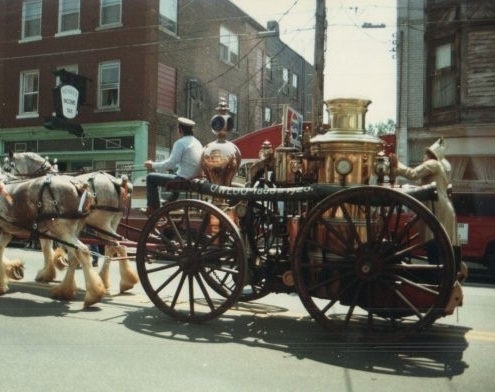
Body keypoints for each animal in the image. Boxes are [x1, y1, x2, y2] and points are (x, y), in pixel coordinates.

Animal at [0, 174, 105, 306]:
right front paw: (12, 271)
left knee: (82, 251)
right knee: (73, 256)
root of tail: (78, 186)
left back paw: (93, 294)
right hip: (72, 231)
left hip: (61, 230)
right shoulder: (6, 232)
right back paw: (64, 291)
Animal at [4, 152, 140, 292]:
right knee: (113, 247)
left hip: (101, 223)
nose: (7, 182)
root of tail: (115, 181)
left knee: (117, 246)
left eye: (7, 168)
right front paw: (58, 263)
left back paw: (119, 281)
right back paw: (110, 280)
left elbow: (47, 249)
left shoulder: (48, 229)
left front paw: (48, 271)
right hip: (111, 223)